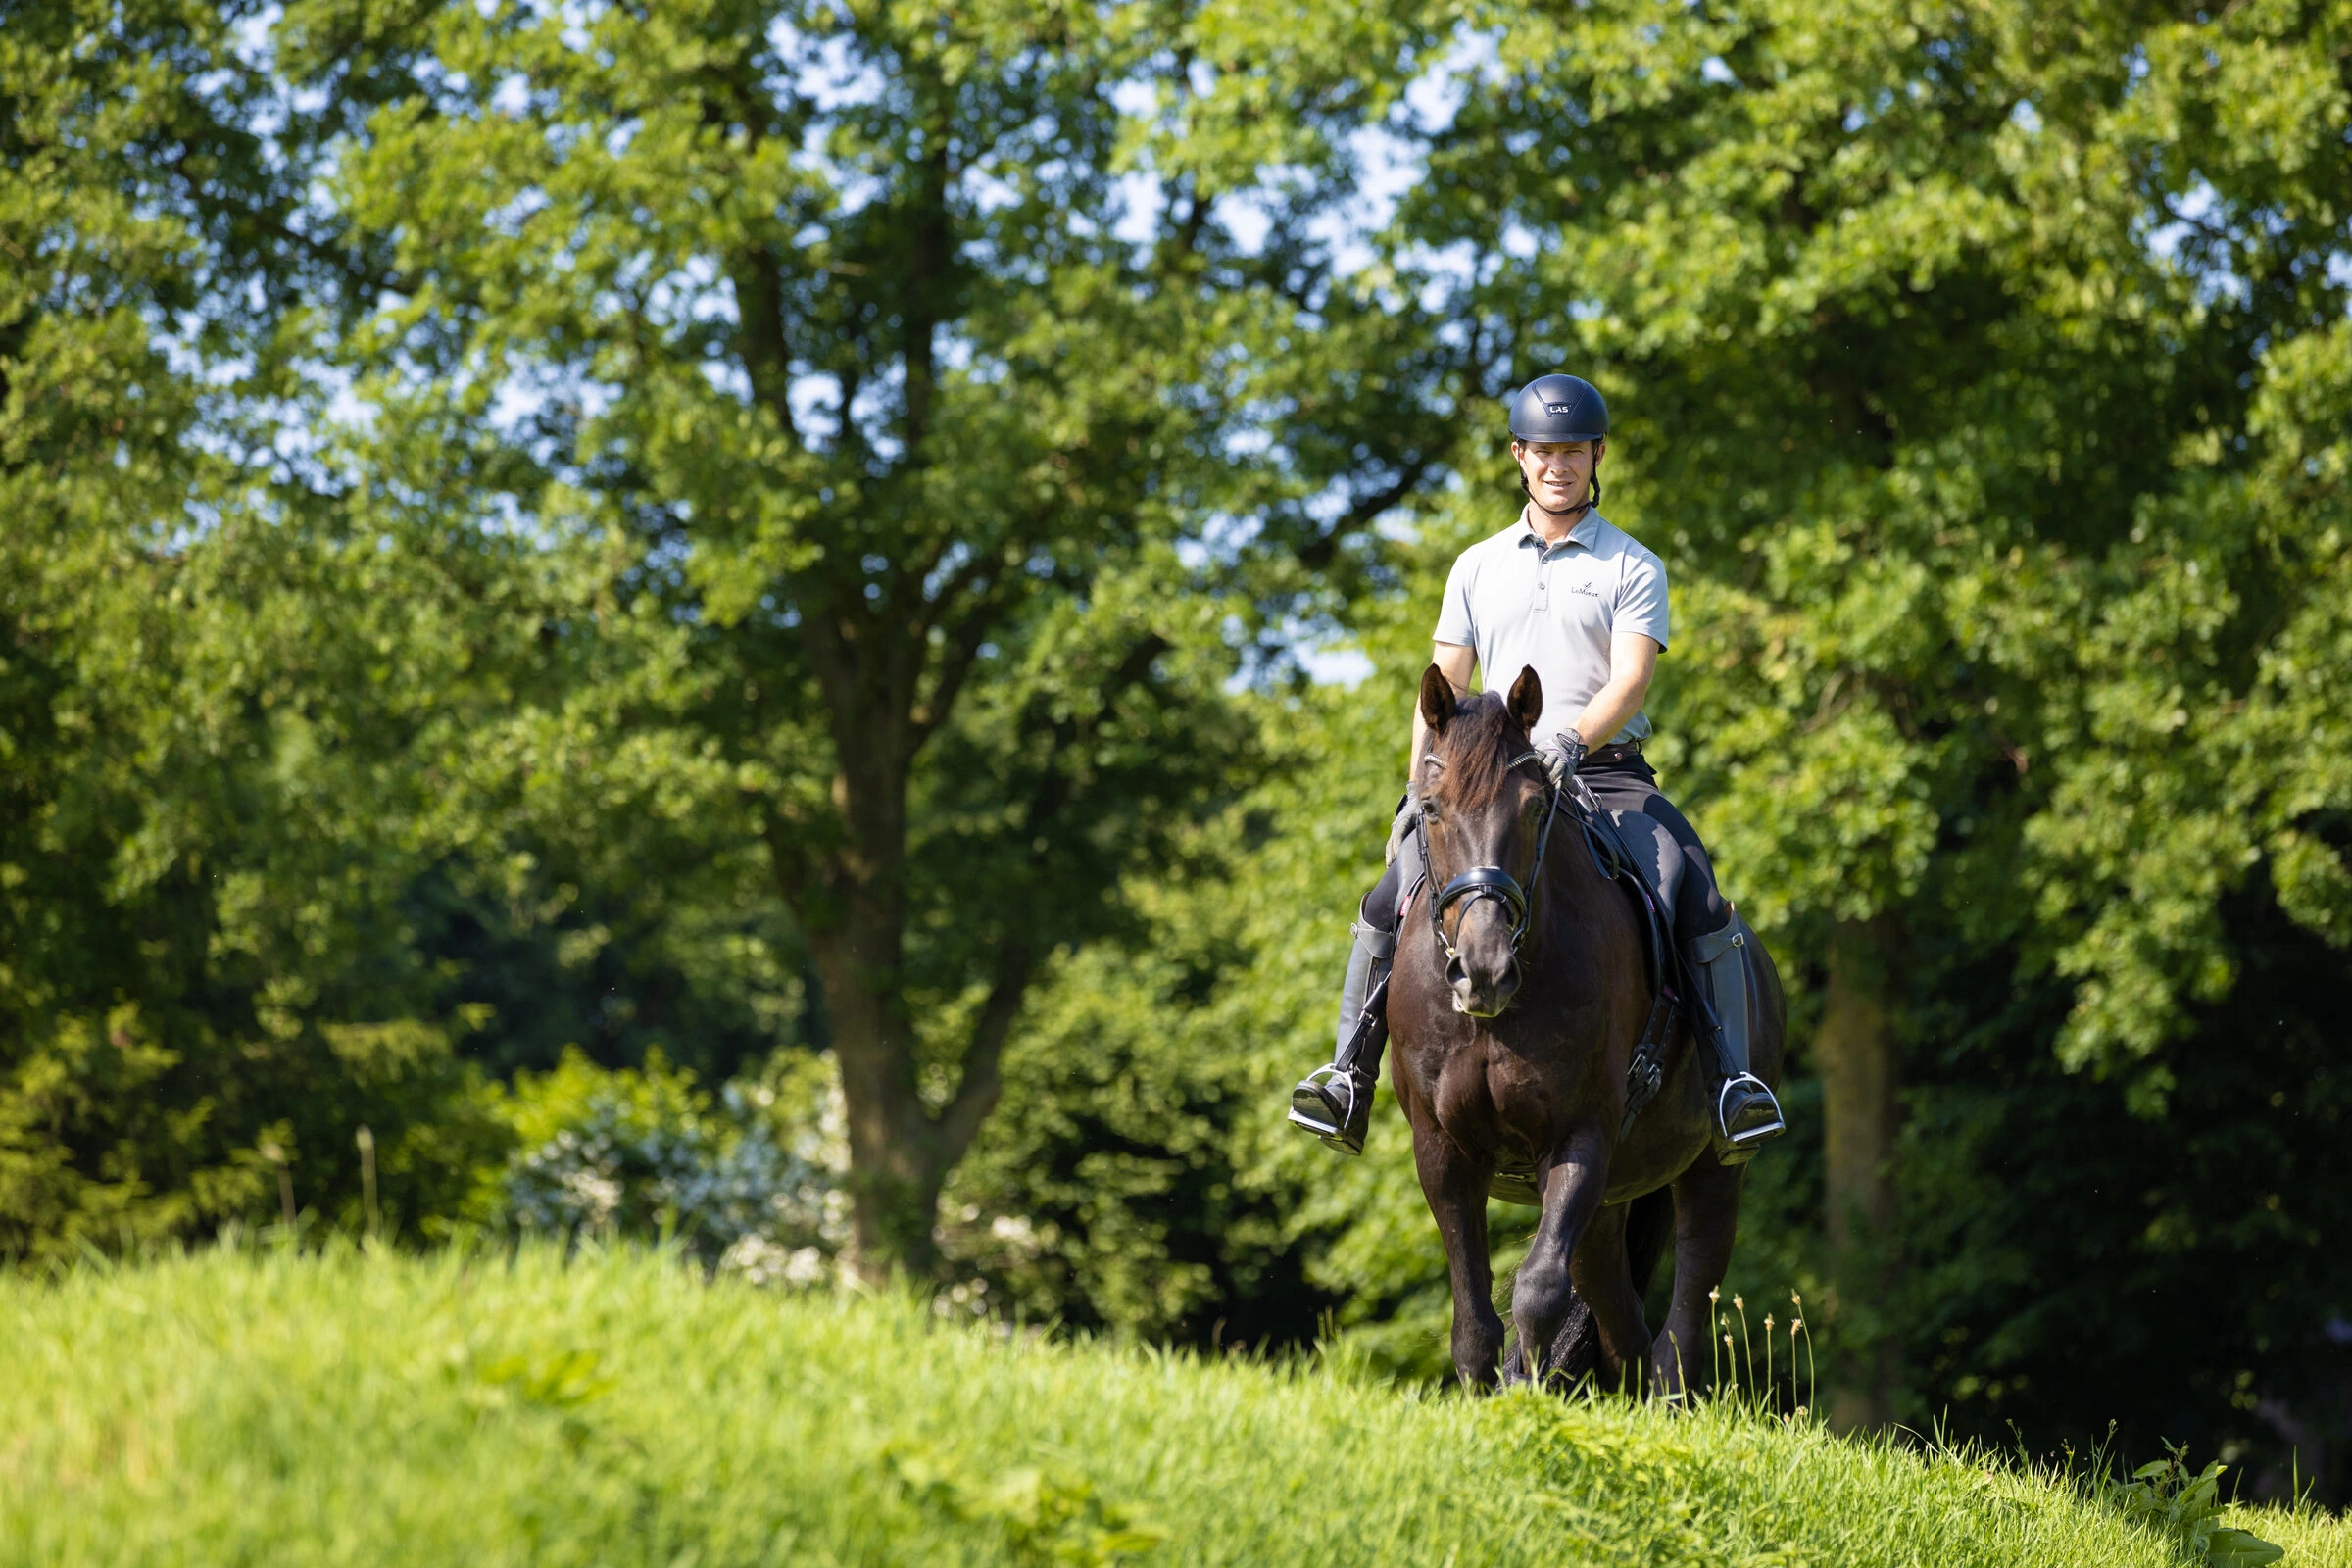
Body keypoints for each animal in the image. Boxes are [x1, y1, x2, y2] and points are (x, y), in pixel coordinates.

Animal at [1388, 663, 1786, 1395]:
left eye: (1533, 808)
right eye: (1430, 810)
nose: (1484, 970)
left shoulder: (1580, 1136)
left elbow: (1536, 1292)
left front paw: (1528, 1395)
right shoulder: (1442, 1148)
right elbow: (1474, 1322)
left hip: (1713, 1172)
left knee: (1684, 1311)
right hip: (1609, 1205)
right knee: (1622, 1320)